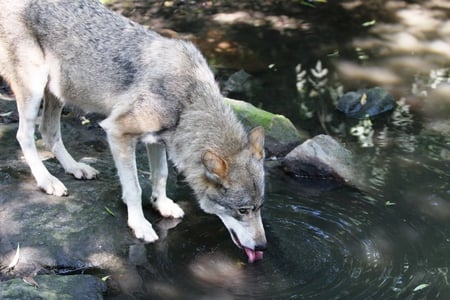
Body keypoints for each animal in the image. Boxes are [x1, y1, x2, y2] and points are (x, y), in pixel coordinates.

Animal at [0, 0, 268, 262]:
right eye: (242, 210)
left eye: (260, 207)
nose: (262, 246)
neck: (187, 102)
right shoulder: (118, 132)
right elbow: (135, 188)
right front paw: (139, 224)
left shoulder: (157, 141)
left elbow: (161, 175)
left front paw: (162, 205)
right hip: (35, 90)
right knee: (24, 136)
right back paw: (47, 180)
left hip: (58, 92)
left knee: (48, 131)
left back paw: (75, 168)